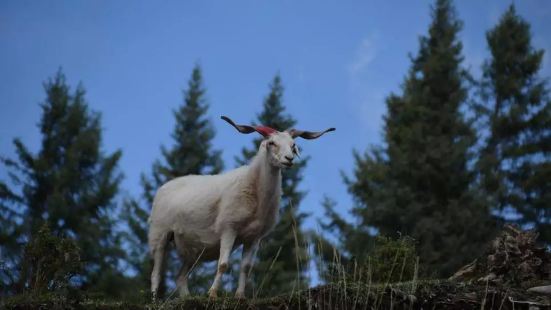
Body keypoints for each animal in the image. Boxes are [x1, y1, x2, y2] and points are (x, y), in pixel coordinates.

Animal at [149, 115, 334, 298]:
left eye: (293, 145)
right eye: (271, 143)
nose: (289, 159)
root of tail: (164, 187)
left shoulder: (254, 237)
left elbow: (245, 267)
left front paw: (239, 296)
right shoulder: (228, 228)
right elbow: (223, 264)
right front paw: (212, 294)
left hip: (192, 250)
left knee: (180, 276)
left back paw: (187, 297)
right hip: (159, 233)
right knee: (156, 272)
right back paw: (154, 298)